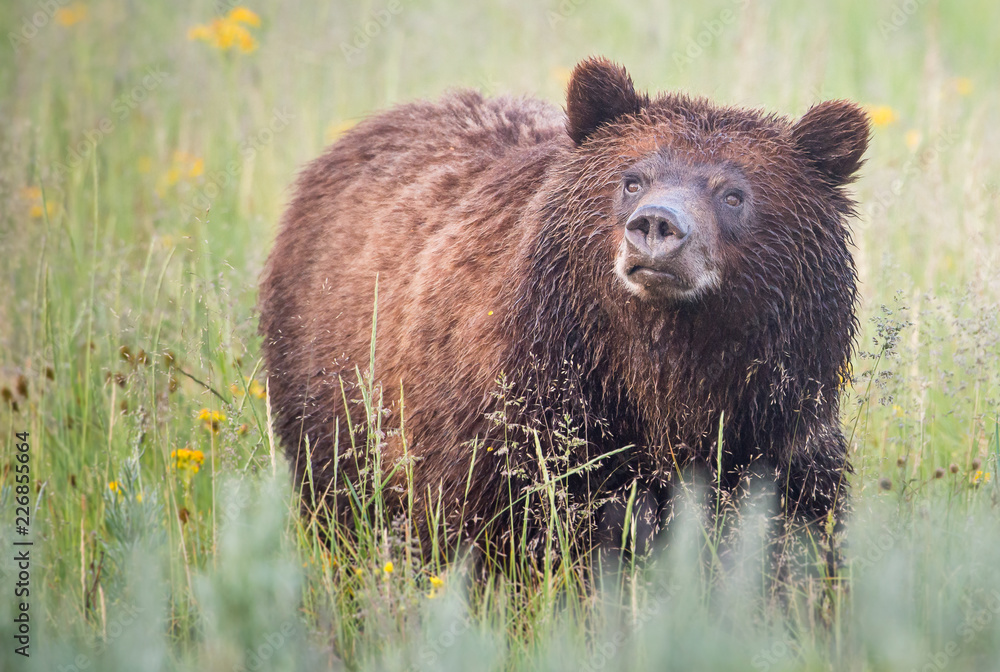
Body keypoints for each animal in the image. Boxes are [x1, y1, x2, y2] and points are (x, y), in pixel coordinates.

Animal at [258, 57, 869, 562]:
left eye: (733, 193)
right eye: (632, 179)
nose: (657, 226)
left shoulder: (773, 427)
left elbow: (793, 537)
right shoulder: (516, 424)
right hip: (328, 393)